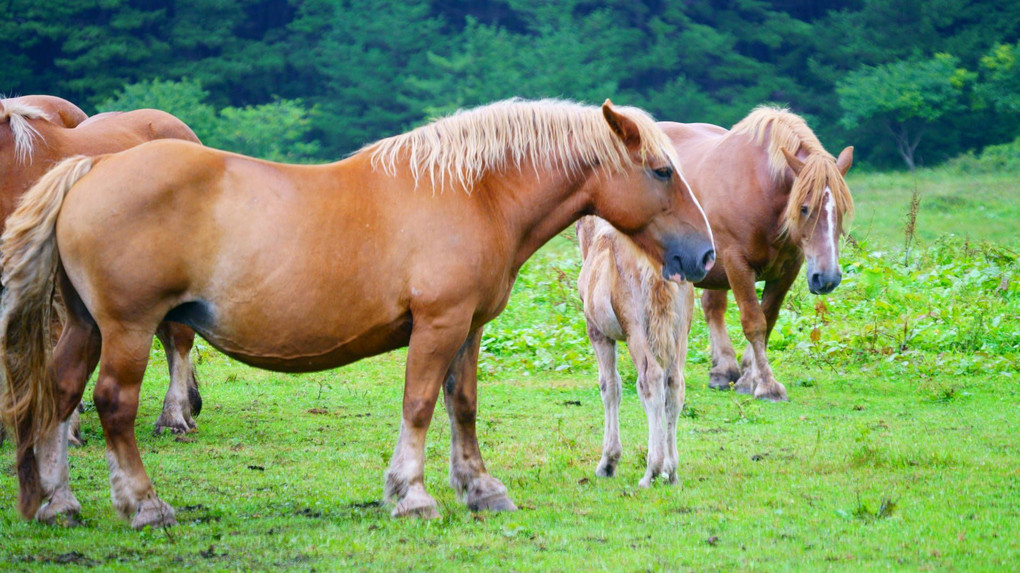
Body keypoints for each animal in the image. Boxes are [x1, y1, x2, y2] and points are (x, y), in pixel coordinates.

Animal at [575, 216, 701, 483]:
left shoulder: (598, 333)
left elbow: (610, 386)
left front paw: (608, 462)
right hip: (679, 335)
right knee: (674, 384)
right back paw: (671, 470)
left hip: (637, 333)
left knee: (650, 380)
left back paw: (652, 470)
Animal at [656, 105, 848, 399]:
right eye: (804, 208)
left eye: (843, 209)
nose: (827, 278)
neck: (761, 188)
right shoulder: (737, 264)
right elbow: (754, 321)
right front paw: (767, 384)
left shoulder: (788, 269)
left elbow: (768, 319)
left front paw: (749, 377)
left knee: (712, 307)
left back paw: (723, 370)